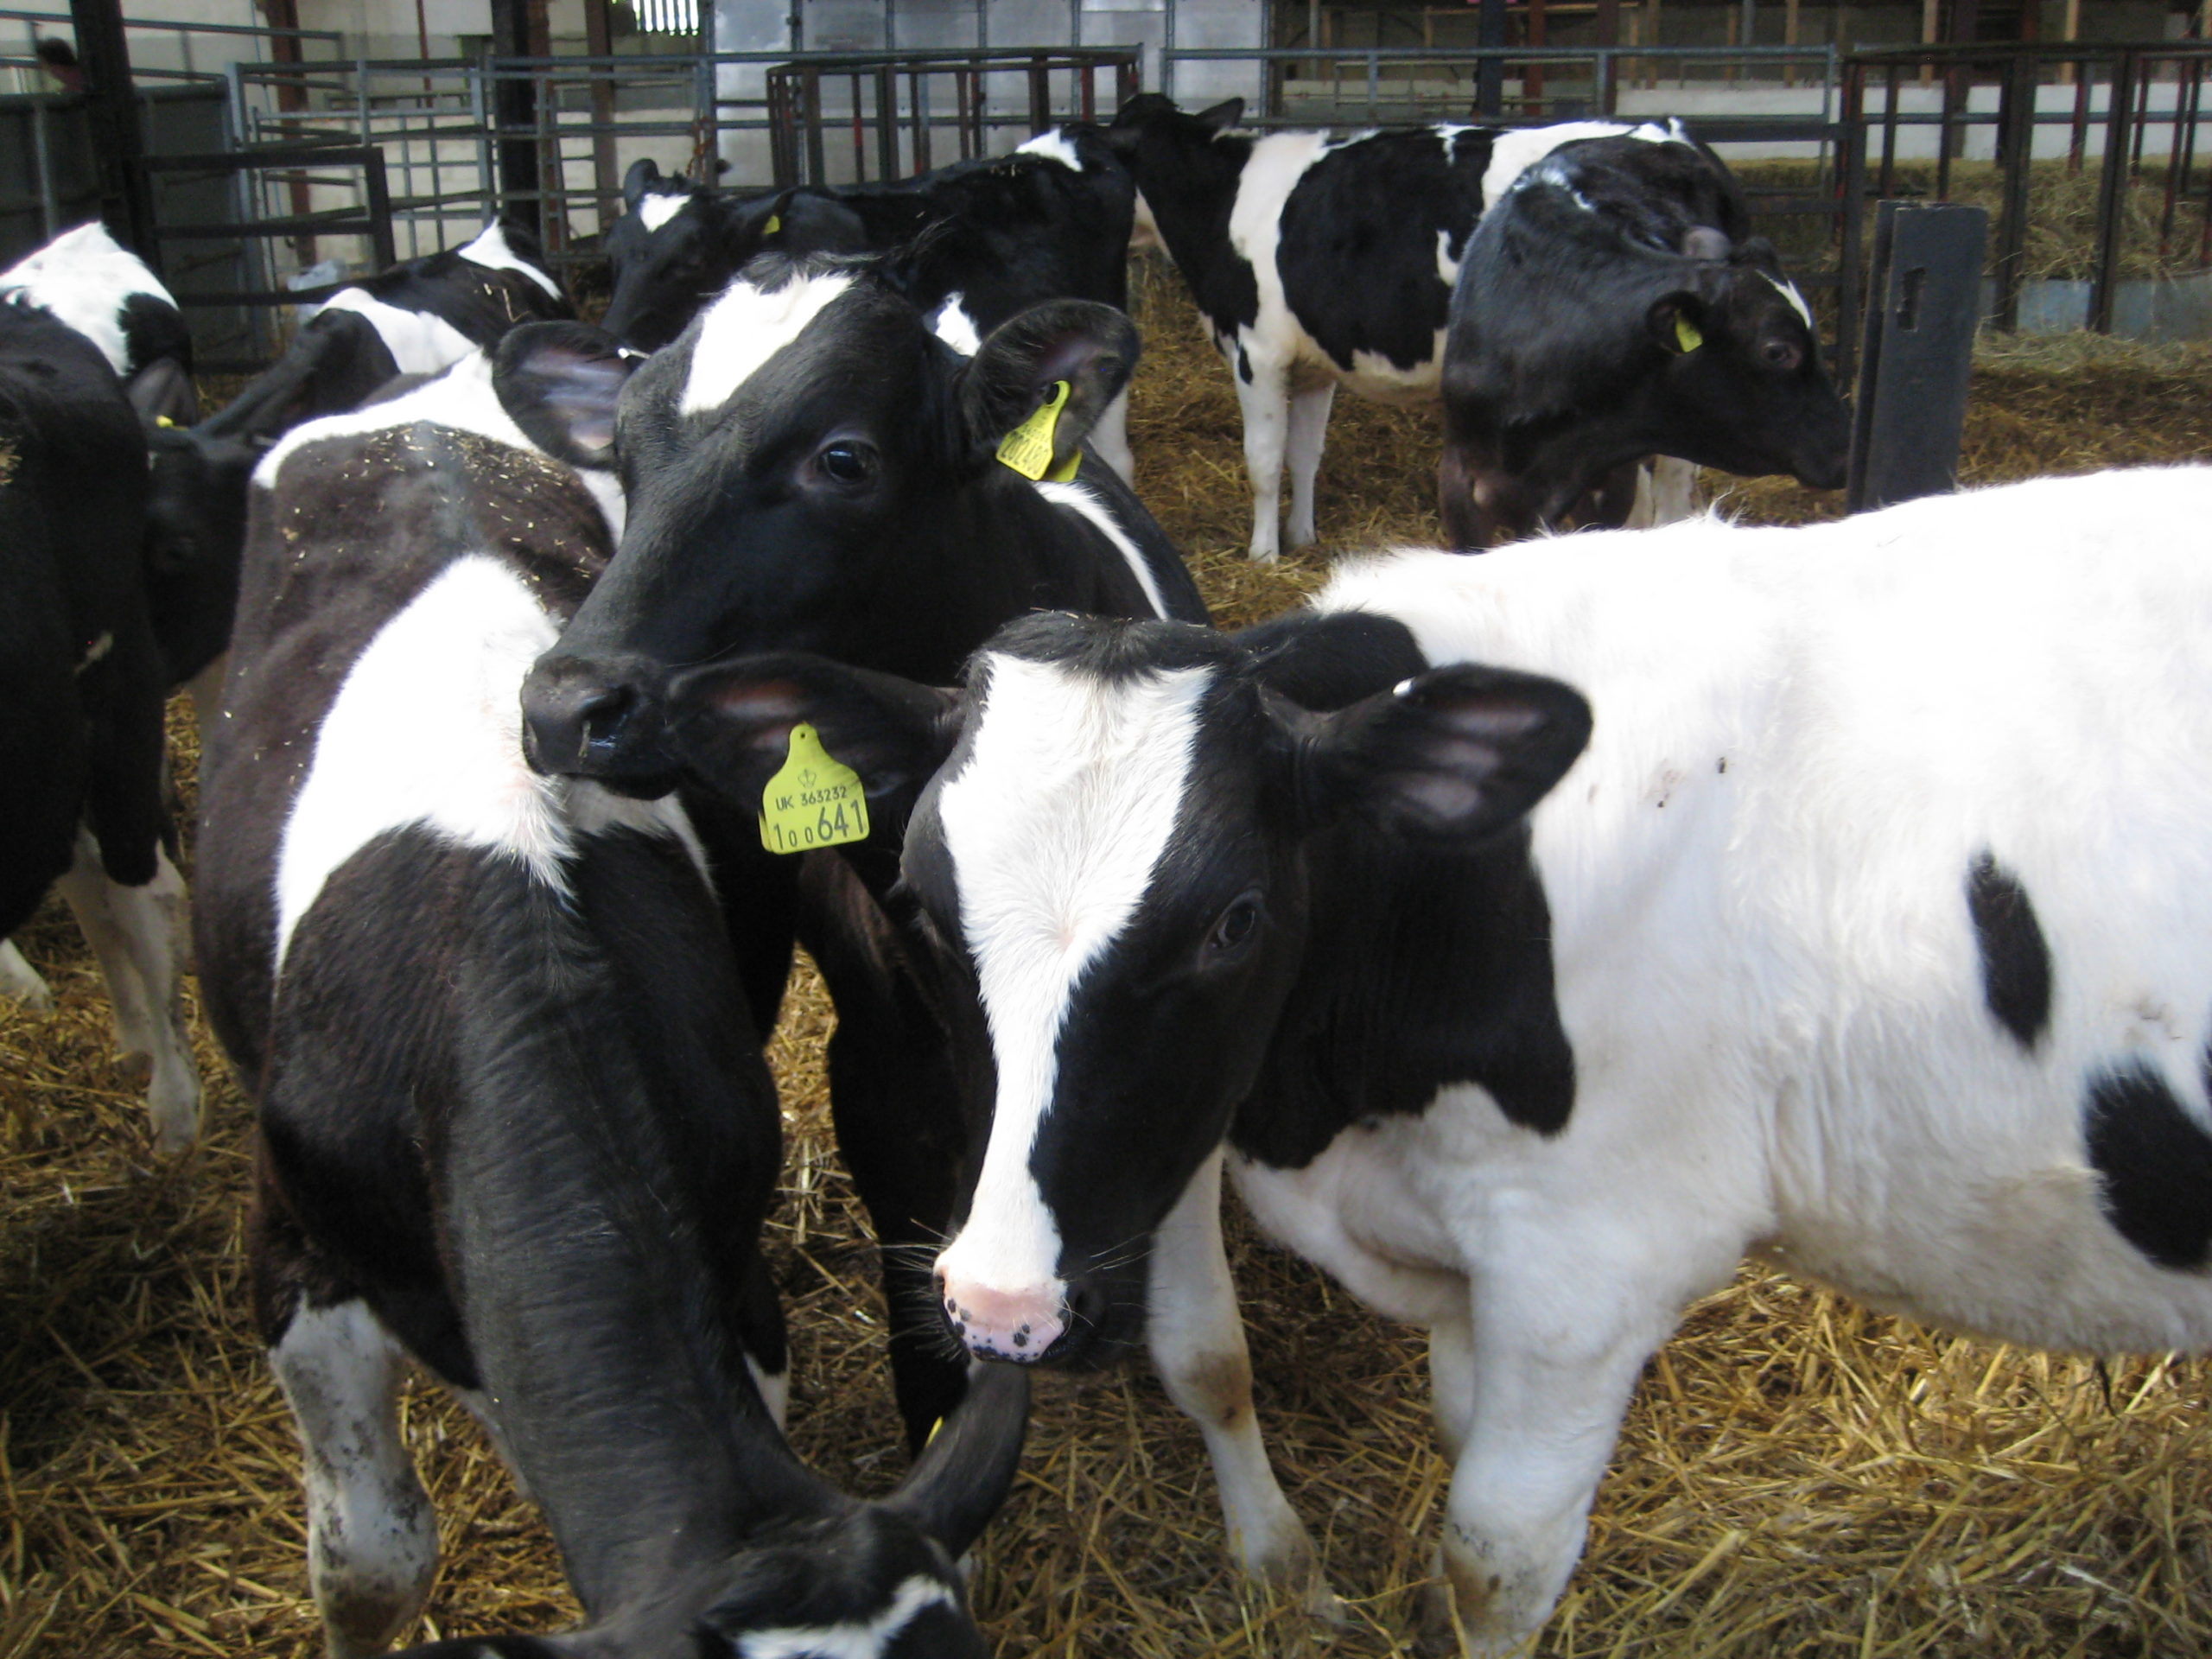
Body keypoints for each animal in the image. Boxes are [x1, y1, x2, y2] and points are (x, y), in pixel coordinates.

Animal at [657, 465, 2212, 1655]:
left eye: (1234, 919)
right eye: (922, 899)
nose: (998, 1303)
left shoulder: (1591, 1269)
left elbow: (1492, 1567)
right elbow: (1261, 1377)